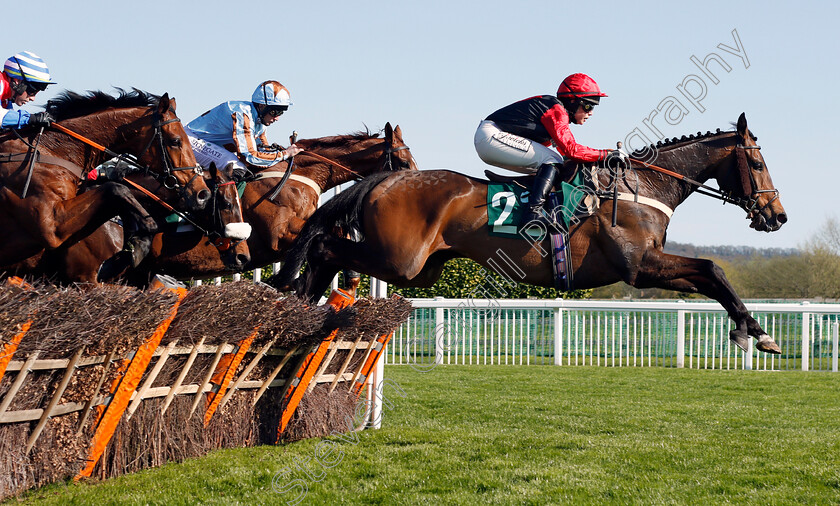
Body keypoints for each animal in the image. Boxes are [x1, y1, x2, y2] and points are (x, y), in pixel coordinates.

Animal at [0, 88, 210, 270]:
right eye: (175, 141)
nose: (202, 194)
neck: (51, 150)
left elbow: (118, 196)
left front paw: (136, 243)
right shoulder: (51, 227)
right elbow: (116, 189)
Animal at [6, 120, 414, 282]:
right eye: (404, 159)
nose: (411, 182)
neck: (298, 178)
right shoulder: (278, 236)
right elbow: (311, 239)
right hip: (87, 272)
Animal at [274, 112, 788, 354]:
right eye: (758, 163)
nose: (777, 216)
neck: (642, 186)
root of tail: (383, 179)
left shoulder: (650, 266)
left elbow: (710, 275)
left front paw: (751, 329)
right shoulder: (640, 267)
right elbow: (713, 268)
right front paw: (756, 333)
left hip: (419, 269)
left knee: (326, 252)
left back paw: (304, 303)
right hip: (400, 261)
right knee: (323, 246)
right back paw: (301, 296)